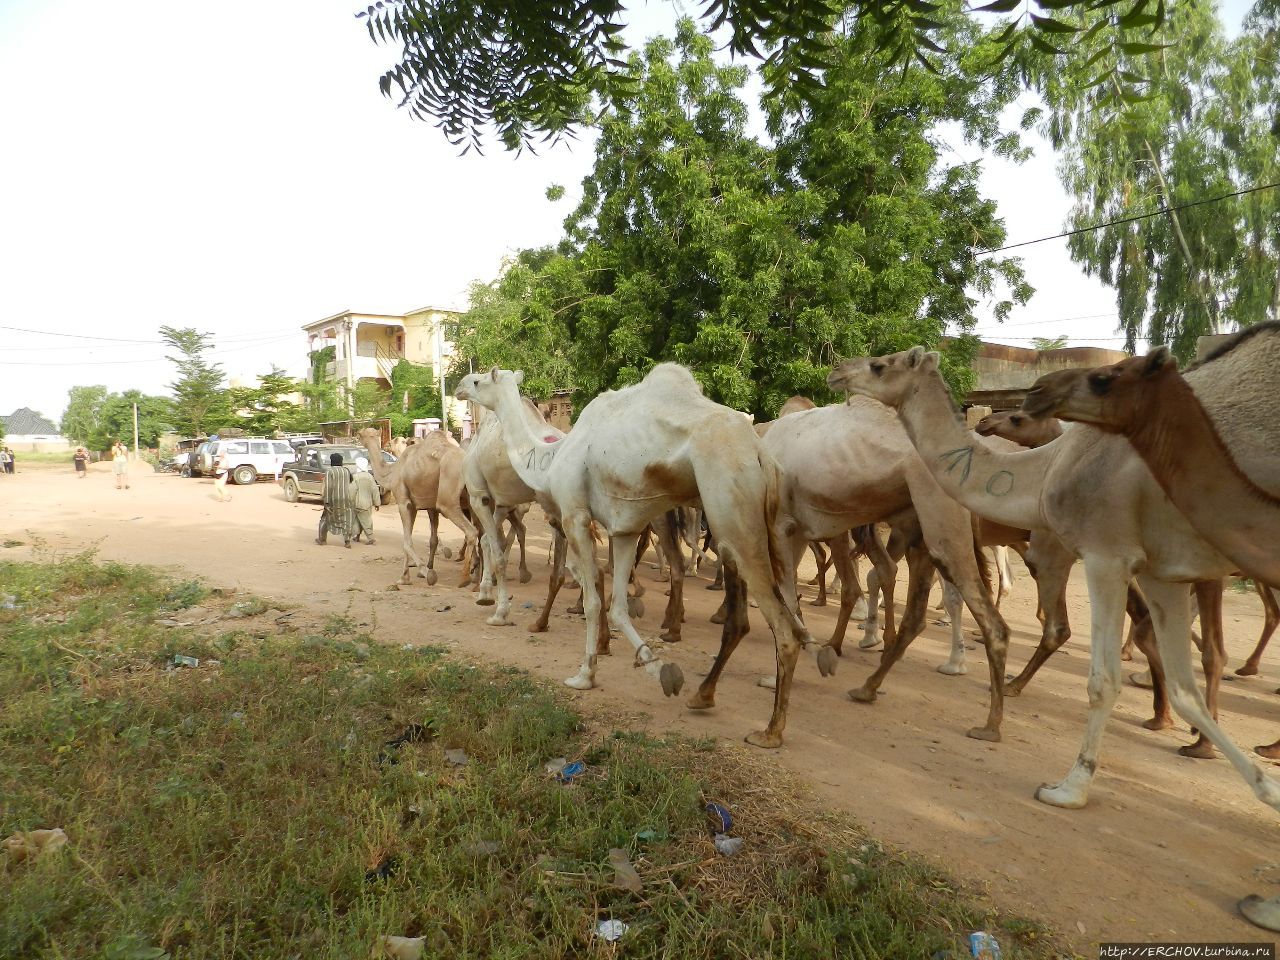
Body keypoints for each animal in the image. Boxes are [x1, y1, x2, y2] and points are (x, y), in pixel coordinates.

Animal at [358, 427, 478, 586]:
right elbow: (419, 539)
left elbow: (406, 542)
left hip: (448, 500)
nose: (385, 445)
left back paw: (465, 578)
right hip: (473, 500)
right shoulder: (417, 506)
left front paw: (426, 573)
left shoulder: (403, 502)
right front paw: (405, 577)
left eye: (360, 435)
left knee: (471, 531)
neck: (392, 472)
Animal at [455, 363, 824, 747]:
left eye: (478, 380)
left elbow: (592, 601)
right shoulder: (625, 530)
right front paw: (660, 669)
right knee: (772, 613)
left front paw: (584, 674)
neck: (548, 460)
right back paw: (707, 693)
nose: (458, 387)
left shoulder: (575, 514)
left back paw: (770, 730)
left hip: (732, 514)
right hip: (768, 525)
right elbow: (617, 605)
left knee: (782, 627)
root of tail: (759, 451)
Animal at [824, 350, 1274, 829]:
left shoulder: (1099, 554)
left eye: (880, 364)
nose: (837, 371)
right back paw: (1171, 722)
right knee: (1155, 633)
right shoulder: (1144, 566)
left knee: (1099, 630)